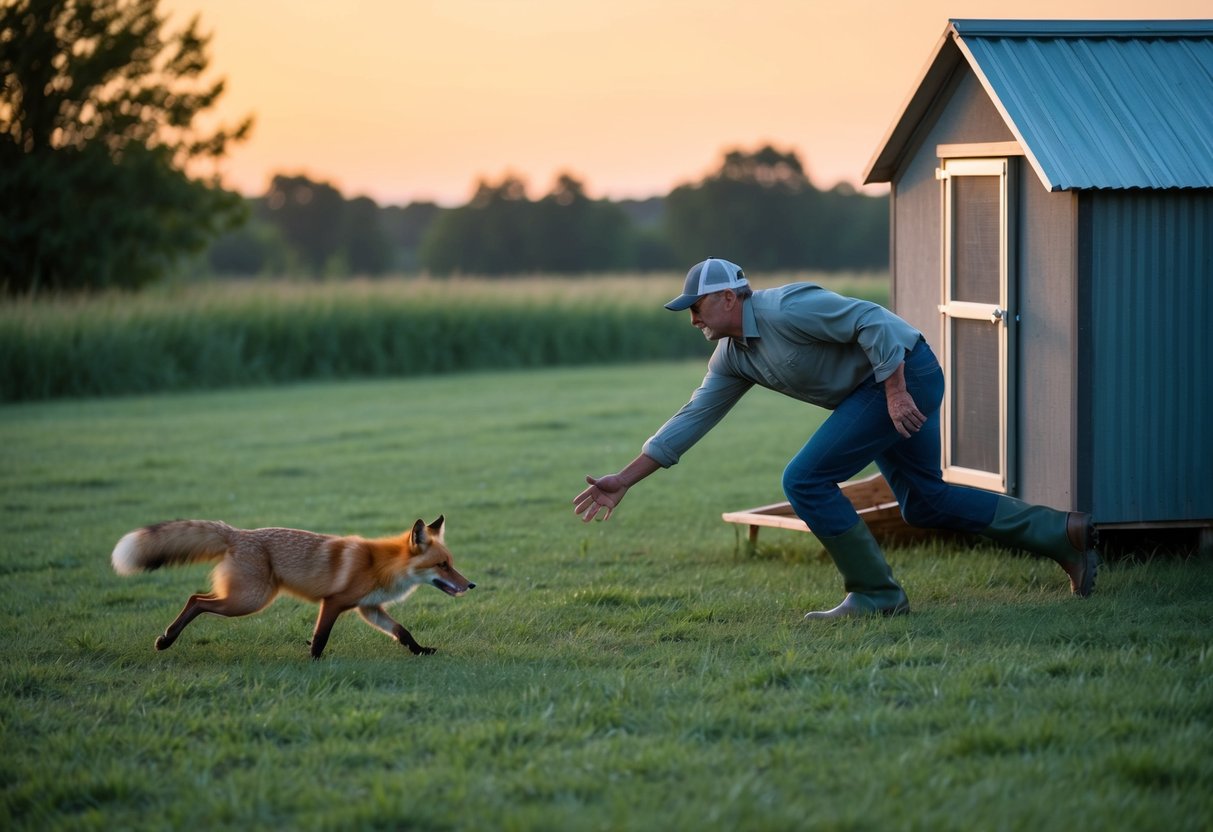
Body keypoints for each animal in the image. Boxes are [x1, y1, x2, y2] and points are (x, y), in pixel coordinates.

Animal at [111, 515, 473, 659]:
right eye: (443, 565)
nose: (470, 584)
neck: (380, 565)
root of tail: (237, 533)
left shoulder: (369, 608)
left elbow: (402, 632)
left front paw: (421, 651)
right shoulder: (334, 602)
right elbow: (321, 636)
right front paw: (313, 660)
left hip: (243, 598)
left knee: (196, 597)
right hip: (249, 601)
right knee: (195, 599)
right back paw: (165, 640)